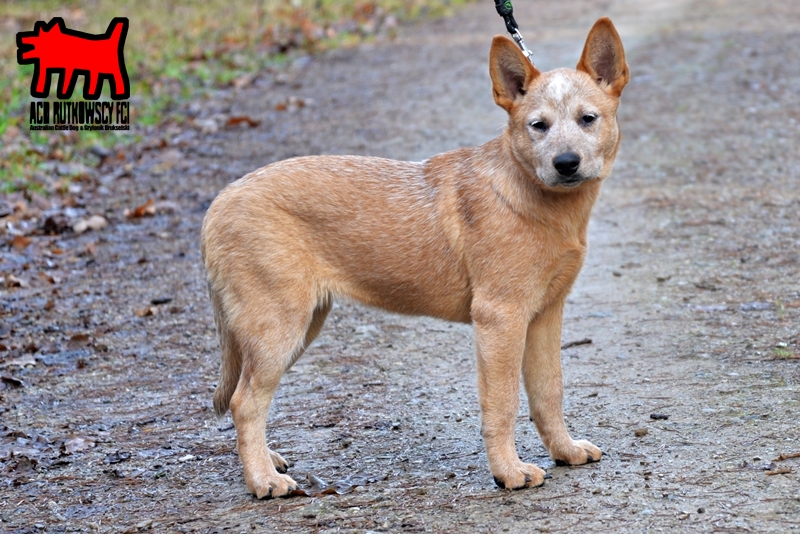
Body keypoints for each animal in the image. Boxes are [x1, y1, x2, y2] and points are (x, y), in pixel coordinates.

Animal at [202, 17, 632, 502]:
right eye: (538, 126)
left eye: (587, 119)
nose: (566, 163)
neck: (536, 201)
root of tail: (219, 202)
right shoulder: (500, 318)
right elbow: (503, 403)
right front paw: (509, 472)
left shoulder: (544, 315)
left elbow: (548, 393)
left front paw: (565, 450)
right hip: (279, 325)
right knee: (244, 402)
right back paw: (263, 480)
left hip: (299, 325)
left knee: (245, 397)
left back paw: (266, 461)